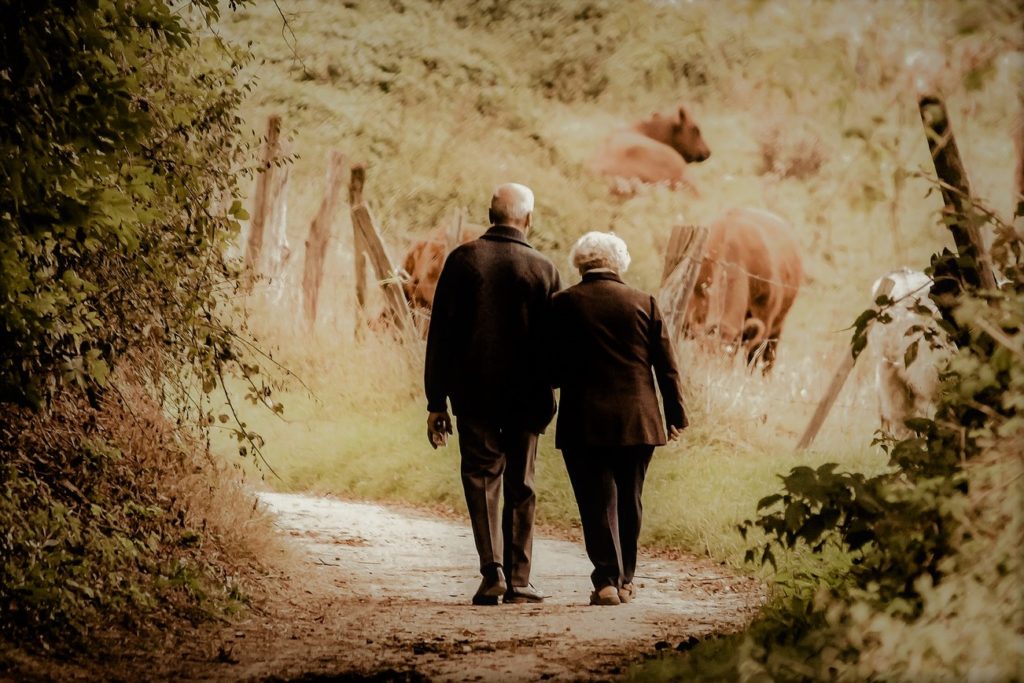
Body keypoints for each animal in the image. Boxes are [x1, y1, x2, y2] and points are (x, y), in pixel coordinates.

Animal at [684, 206, 802, 370]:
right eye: (703, 353)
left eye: (728, 356)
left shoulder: (764, 318)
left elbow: (752, 359)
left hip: (777, 327)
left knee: (768, 359)